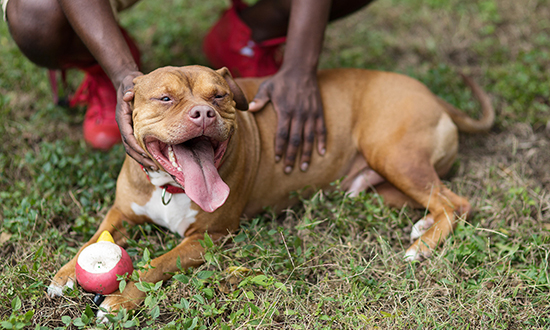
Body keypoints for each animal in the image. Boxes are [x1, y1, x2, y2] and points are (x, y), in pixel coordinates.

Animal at [47, 65, 496, 318]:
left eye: (219, 96)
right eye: (166, 97)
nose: (203, 113)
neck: (170, 187)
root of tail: (432, 95)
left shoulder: (207, 238)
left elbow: (154, 264)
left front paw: (120, 300)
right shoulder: (121, 212)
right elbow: (93, 238)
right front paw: (67, 273)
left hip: (396, 155)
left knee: (457, 202)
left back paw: (421, 247)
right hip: (383, 181)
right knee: (435, 199)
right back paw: (422, 227)